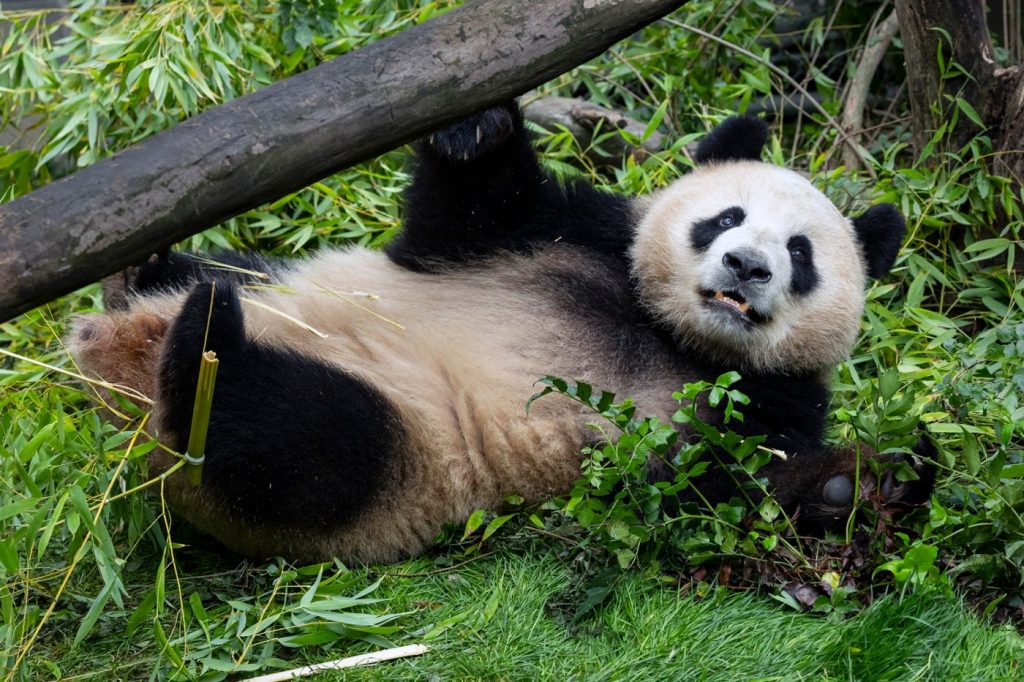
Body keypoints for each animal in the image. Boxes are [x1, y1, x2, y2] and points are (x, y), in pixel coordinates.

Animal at [66, 99, 929, 557]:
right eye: (726, 217)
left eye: (800, 254)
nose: (747, 266)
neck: (671, 333)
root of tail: (119, 371)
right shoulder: (569, 234)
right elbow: (465, 216)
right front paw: (476, 127)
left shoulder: (767, 399)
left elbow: (717, 489)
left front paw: (859, 483)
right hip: (276, 284)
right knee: (227, 282)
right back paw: (146, 278)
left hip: (400, 458)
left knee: (298, 440)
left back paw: (201, 357)